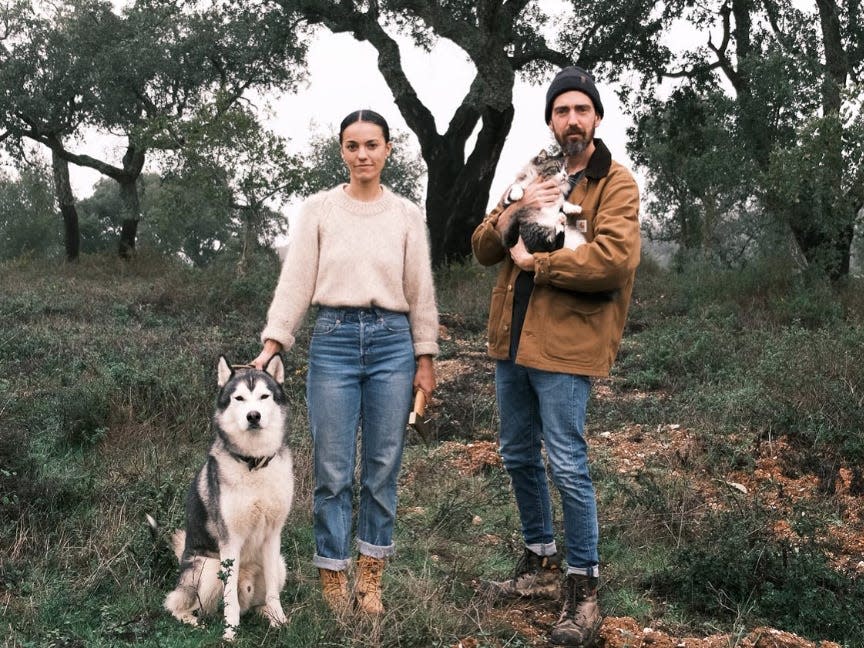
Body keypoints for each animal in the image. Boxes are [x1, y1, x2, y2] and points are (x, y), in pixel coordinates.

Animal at [164, 356, 296, 640]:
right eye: (239, 398)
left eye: (264, 396)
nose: (253, 416)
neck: (254, 464)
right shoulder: (230, 542)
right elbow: (230, 601)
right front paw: (230, 635)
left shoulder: (273, 536)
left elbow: (273, 593)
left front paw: (279, 620)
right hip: (208, 568)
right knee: (175, 604)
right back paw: (194, 622)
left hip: (280, 564)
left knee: (258, 602)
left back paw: (265, 613)